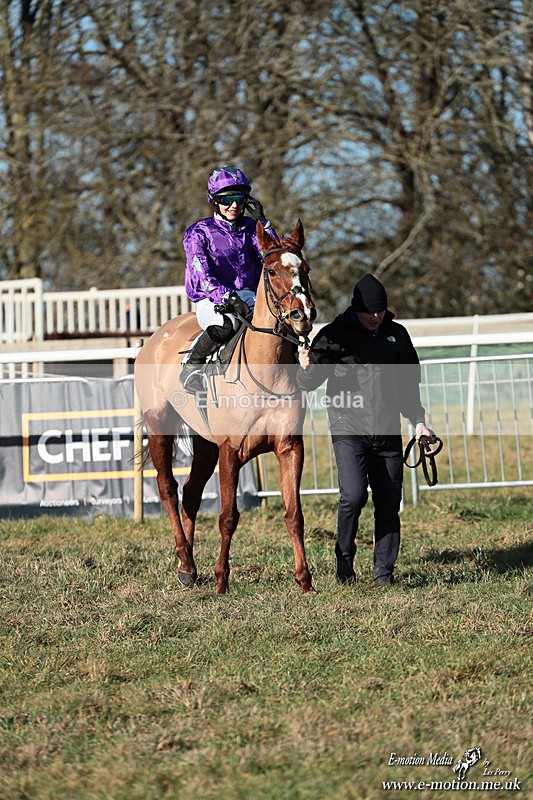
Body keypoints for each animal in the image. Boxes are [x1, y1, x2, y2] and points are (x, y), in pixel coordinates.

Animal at [134, 219, 317, 594]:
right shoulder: (231, 450)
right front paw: (221, 580)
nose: (301, 315)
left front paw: (304, 580)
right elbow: (228, 517)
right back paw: (186, 559)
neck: (266, 374)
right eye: (272, 270)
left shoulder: (290, 447)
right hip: (160, 426)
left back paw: (187, 568)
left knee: (190, 493)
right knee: (168, 489)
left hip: (205, 443)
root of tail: (154, 339)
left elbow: (294, 514)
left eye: (305, 269)